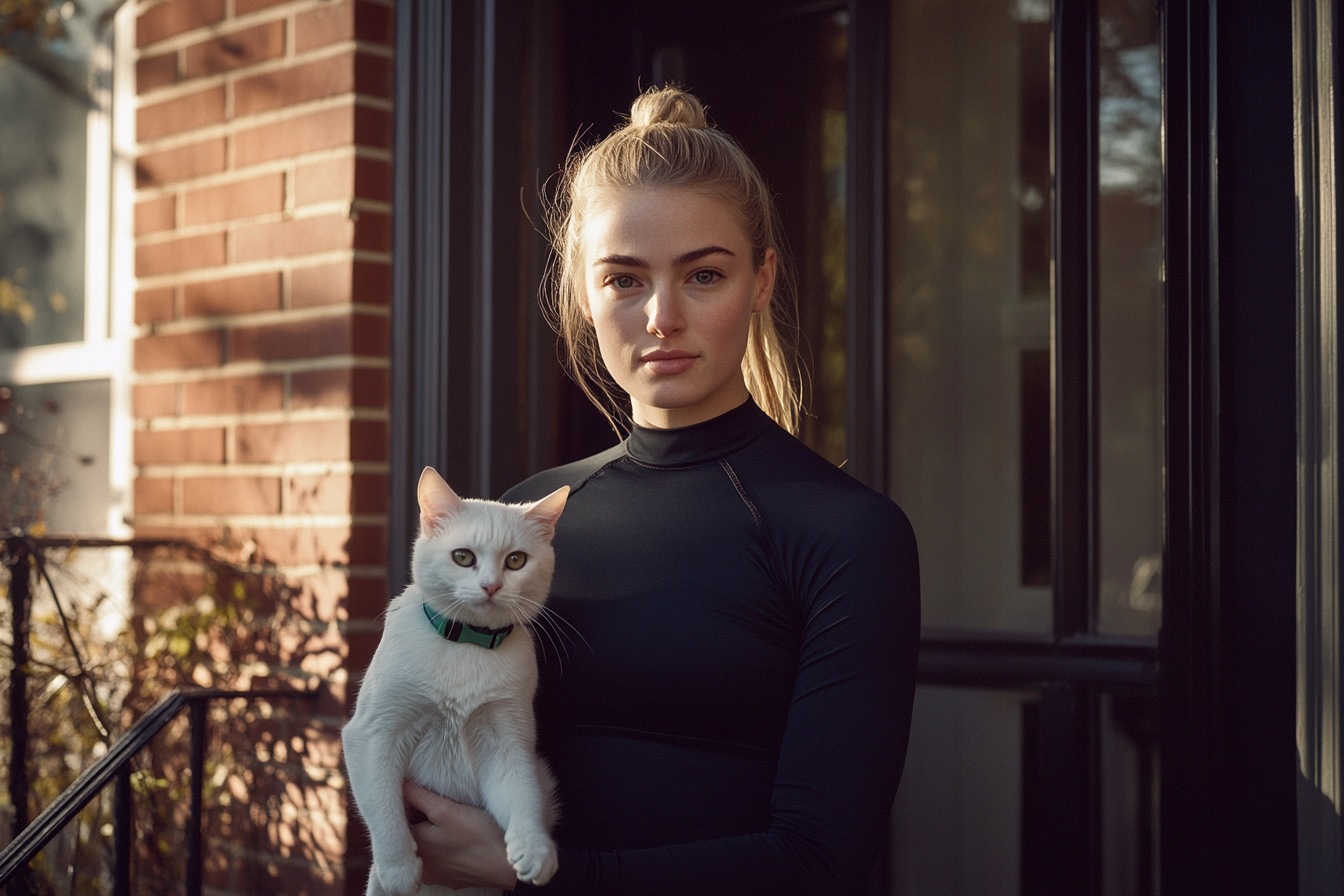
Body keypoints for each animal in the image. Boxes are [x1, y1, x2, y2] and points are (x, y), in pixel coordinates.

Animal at [341, 470, 567, 896]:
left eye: (516, 561)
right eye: (463, 557)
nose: (491, 586)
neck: (467, 644)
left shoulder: (506, 741)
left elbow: (522, 793)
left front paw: (535, 849)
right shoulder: (372, 733)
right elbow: (383, 807)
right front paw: (399, 870)